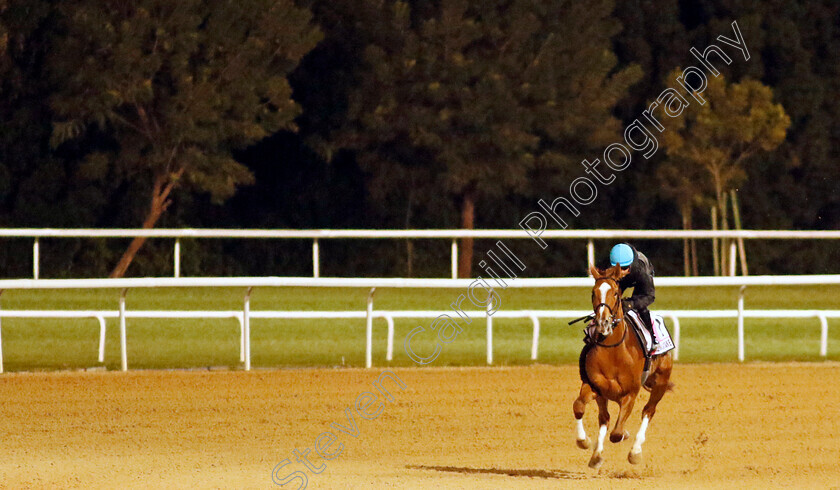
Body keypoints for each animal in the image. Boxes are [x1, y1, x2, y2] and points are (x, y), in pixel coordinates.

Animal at [576, 262, 672, 468]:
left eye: (615, 293)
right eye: (593, 292)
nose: (603, 322)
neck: (613, 353)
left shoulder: (630, 394)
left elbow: (617, 433)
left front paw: (626, 438)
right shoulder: (594, 386)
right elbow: (579, 407)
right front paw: (584, 441)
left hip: (661, 381)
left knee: (648, 411)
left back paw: (635, 451)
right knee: (604, 418)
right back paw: (596, 455)